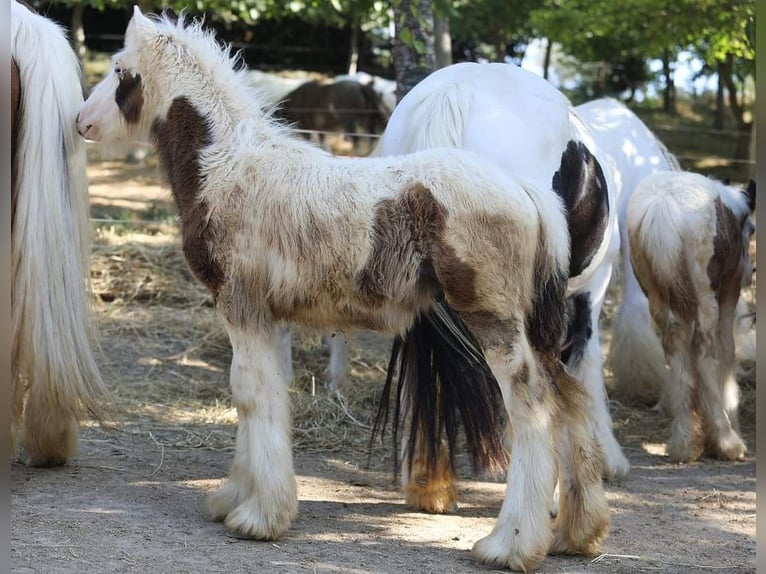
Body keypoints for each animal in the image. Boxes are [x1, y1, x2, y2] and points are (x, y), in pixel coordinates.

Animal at [78, 9, 612, 572]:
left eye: (119, 71)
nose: (81, 122)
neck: (228, 167)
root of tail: (527, 193)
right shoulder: (265, 318)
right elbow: (264, 393)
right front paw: (235, 498)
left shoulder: (240, 307)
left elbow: (249, 393)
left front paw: (258, 517)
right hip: (536, 327)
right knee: (569, 397)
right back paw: (578, 533)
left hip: (494, 319)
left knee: (532, 407)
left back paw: (510, 544)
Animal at [632, 172, 756, 464]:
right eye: (752, 230)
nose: (751, 272)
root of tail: (662, 206)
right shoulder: (729, 293)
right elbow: (727, 350)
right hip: (706, 297)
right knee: (704, 350)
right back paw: (726, 441)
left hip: (659, 300)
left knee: (675, 349)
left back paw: (685, 443)